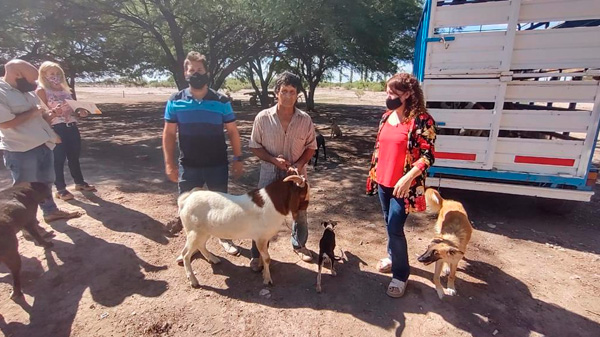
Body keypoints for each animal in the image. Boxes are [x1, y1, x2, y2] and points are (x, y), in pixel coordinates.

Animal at [177, 173, 310, 286]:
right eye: (303, 194)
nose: (304, 210)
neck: (272, 203)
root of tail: (185, 200)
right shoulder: (261, 238)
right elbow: (267, 258)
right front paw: (267, 279)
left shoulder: (264, 238)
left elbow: (263, 255)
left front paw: (262, 270)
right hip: (194, 233)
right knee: (185, 254)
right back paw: (193, 280)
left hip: (204, 232)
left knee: (201, 245)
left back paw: (213, 259)